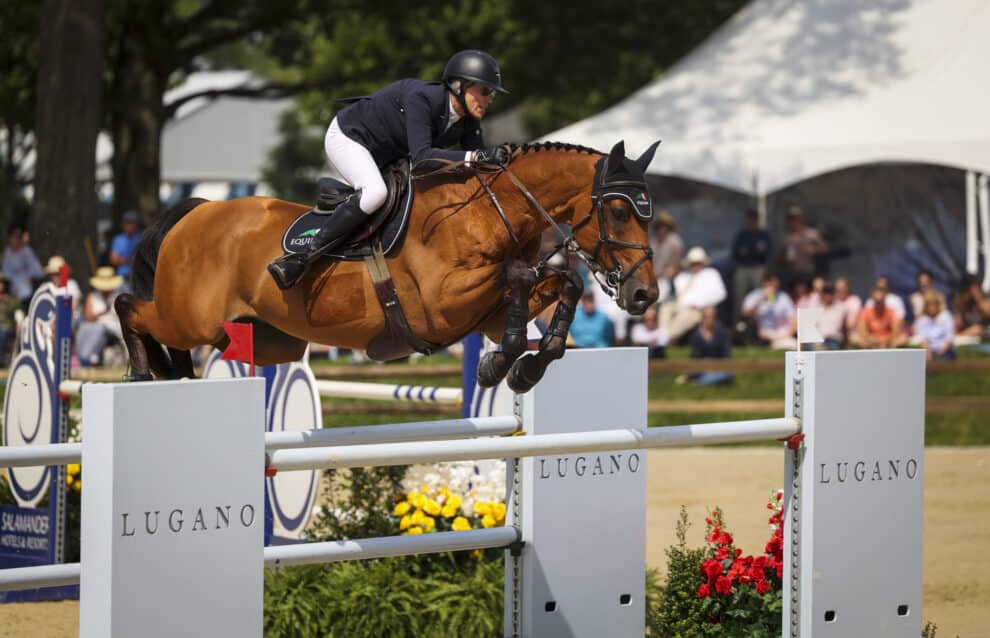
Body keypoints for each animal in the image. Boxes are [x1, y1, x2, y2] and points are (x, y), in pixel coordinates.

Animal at [114, 140, 660, 396]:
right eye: (618, 211)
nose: (645, 296)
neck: (493, 208)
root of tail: (198, 209)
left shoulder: (484, 312)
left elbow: (563, 281)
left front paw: (527, 367)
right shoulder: (442, 305)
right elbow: (518, 275)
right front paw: (499, 363)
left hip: (261, 338)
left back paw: (176, 377)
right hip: (189, 316)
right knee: (129, 306)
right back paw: (141, 374)